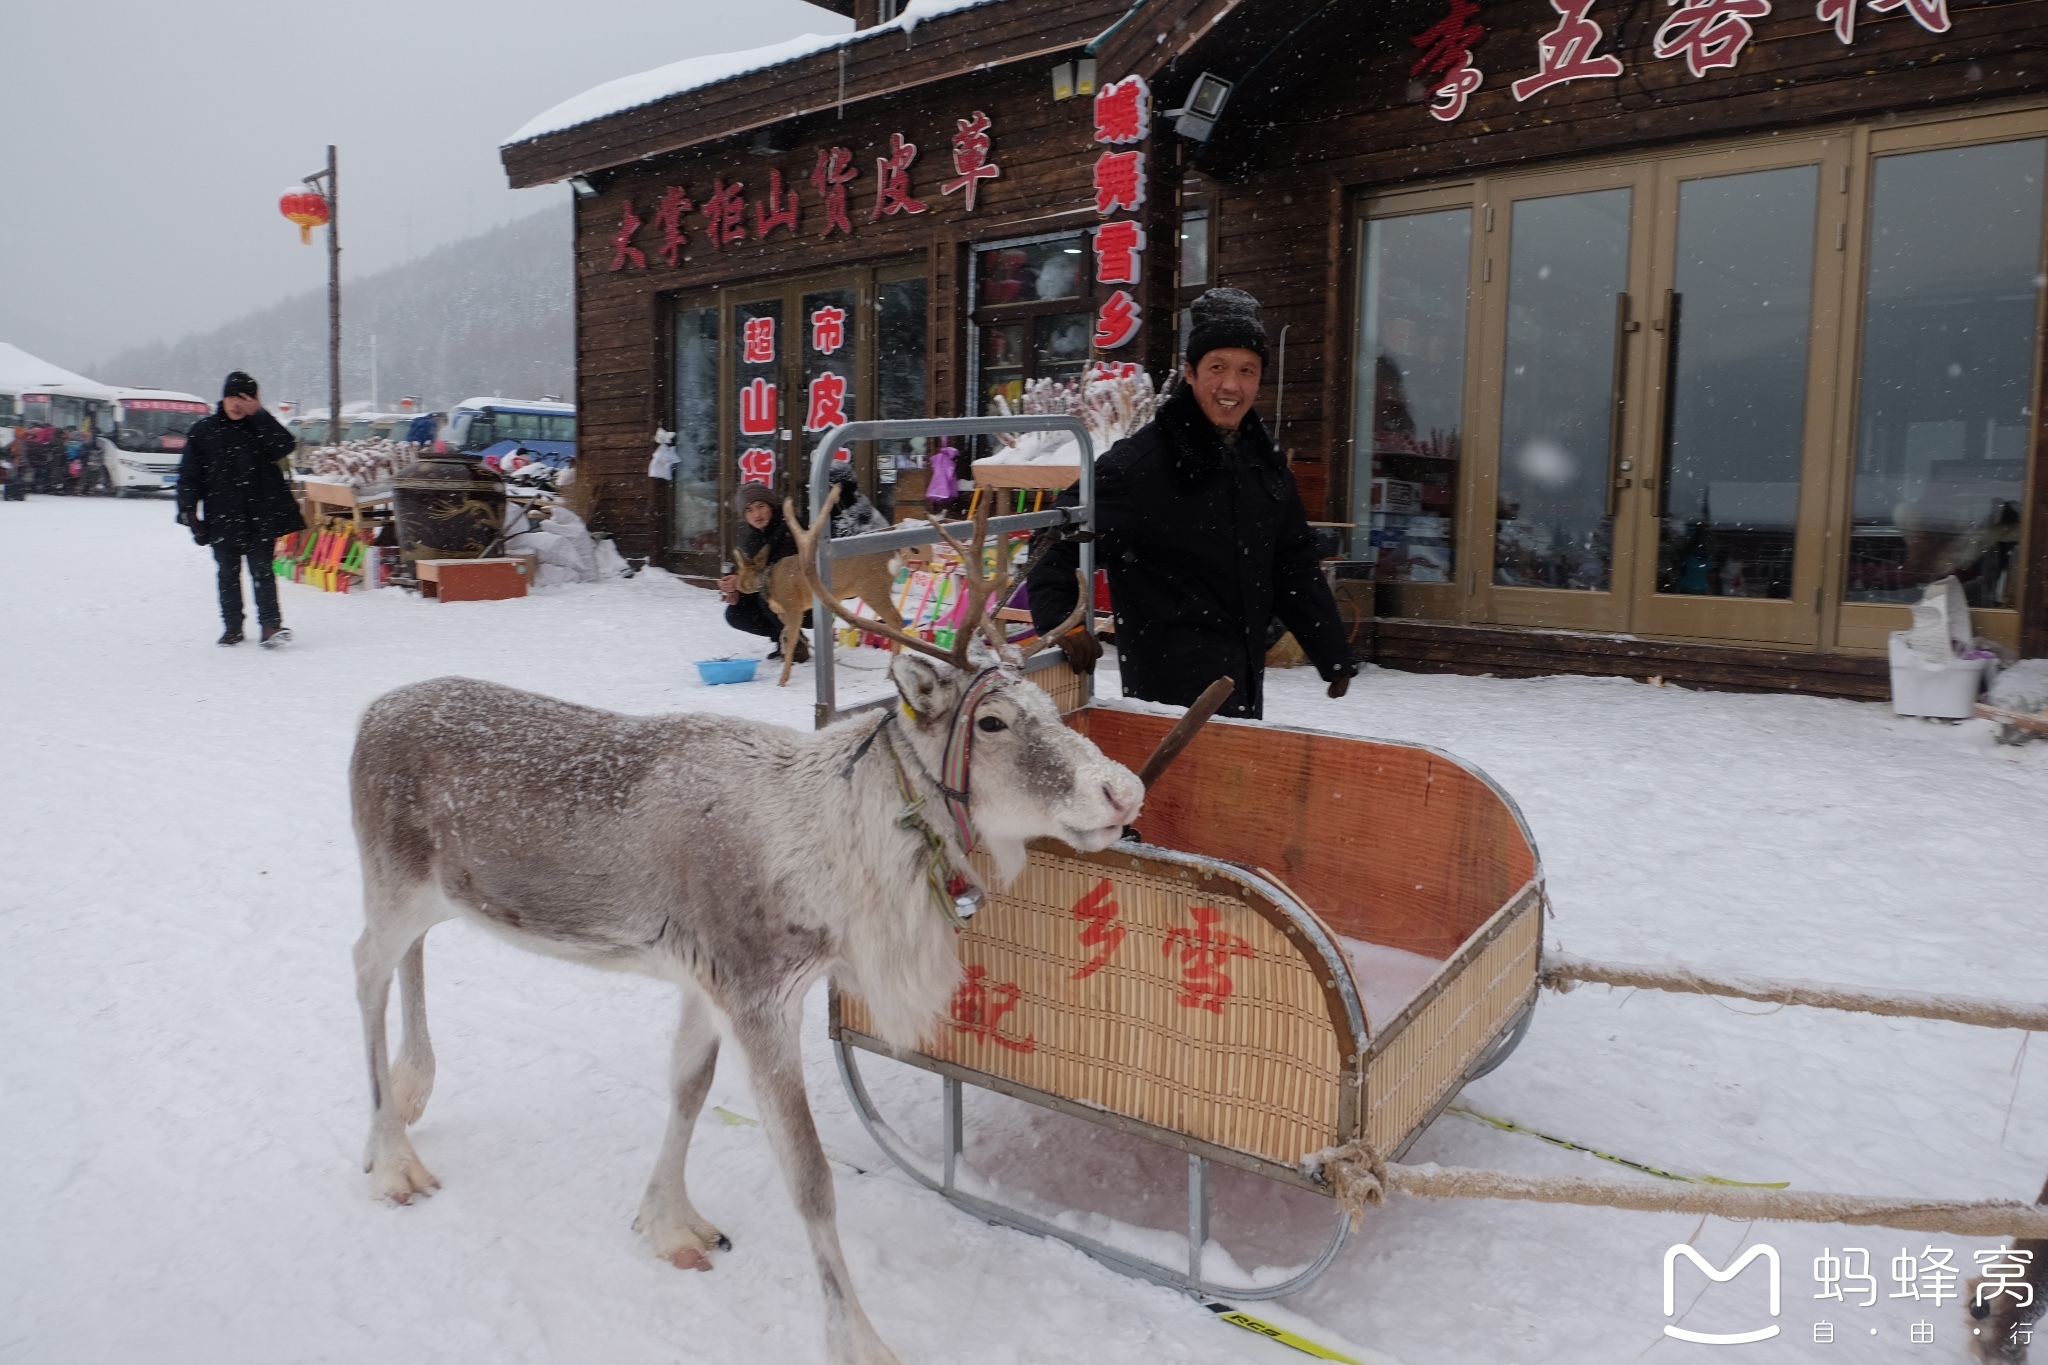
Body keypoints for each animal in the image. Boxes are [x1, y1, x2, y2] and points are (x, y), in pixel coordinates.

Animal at [350, 499, 1122, 1365]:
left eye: (1052, 708)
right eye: (991, 721)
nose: (1122, 790)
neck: (833, 848)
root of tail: (366, 716)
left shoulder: (704, 978)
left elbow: (688, 1085)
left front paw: (668, 1222)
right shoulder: (756, 990)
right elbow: (809, 1175)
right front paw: (857, 1339)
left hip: (432, 894)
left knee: (410, 955)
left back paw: (414, 1087)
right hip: (390, 879)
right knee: (364, 965)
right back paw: (391, 1157)